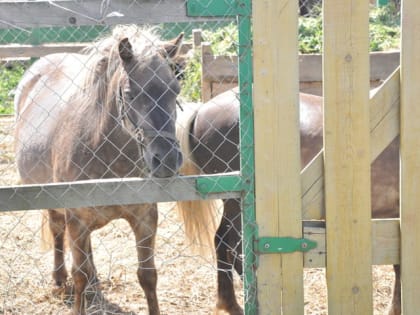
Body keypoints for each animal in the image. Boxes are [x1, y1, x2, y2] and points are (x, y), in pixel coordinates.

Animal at [14, 25, 184, 315]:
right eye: (130, 94)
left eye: (175, 90)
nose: (167, 159)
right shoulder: (77, 218)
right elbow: (79, 274)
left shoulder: (145, 217)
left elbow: (148, 275)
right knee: (58, 232)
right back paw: (59, 279)